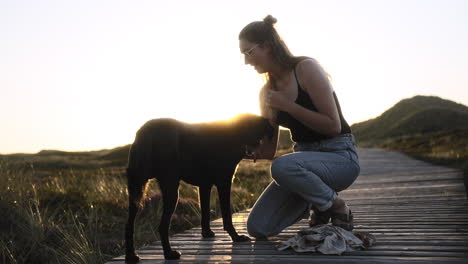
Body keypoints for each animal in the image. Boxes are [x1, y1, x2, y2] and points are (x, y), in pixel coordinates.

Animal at [124, 113, 272, 262]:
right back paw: (169, 254)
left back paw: (131, 255)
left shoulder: (205, 186)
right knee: (162, 226)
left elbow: (205, 212)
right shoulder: (224, 182)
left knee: (129, 225)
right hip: (170, 187)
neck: (235, 133)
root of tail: (145, 133)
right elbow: (227, 215)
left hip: (136, 188)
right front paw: (236, 237)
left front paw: (207, 233)